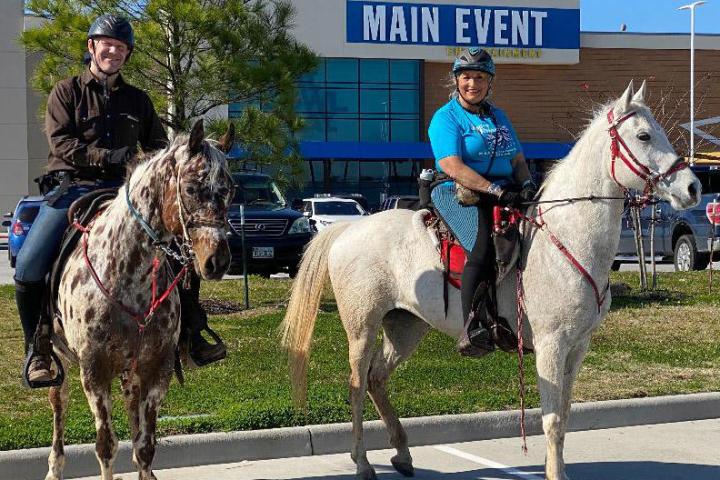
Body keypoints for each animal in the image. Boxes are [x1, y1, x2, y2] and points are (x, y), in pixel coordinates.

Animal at [45, 121, 235, 480]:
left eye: (230, 190)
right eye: (191, 188)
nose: (217, 261)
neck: (126, 273)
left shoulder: (156, 368)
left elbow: (145, 447)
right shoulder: (94, 371)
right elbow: (106, 446)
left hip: (130, 372)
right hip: (57, 358)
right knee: (58, 399)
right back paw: (54, 466)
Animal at [278, 80, 700, 478]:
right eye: (643, 136)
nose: (692, 187)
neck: (566, 238)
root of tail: (347, 229)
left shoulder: (578, 347)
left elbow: (564, 417)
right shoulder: (550, 344)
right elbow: (551, 421)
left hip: (406, 325)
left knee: (378, 379)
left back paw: (402, 453)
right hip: (361, 326)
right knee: (357, 385)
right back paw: (363, 463)